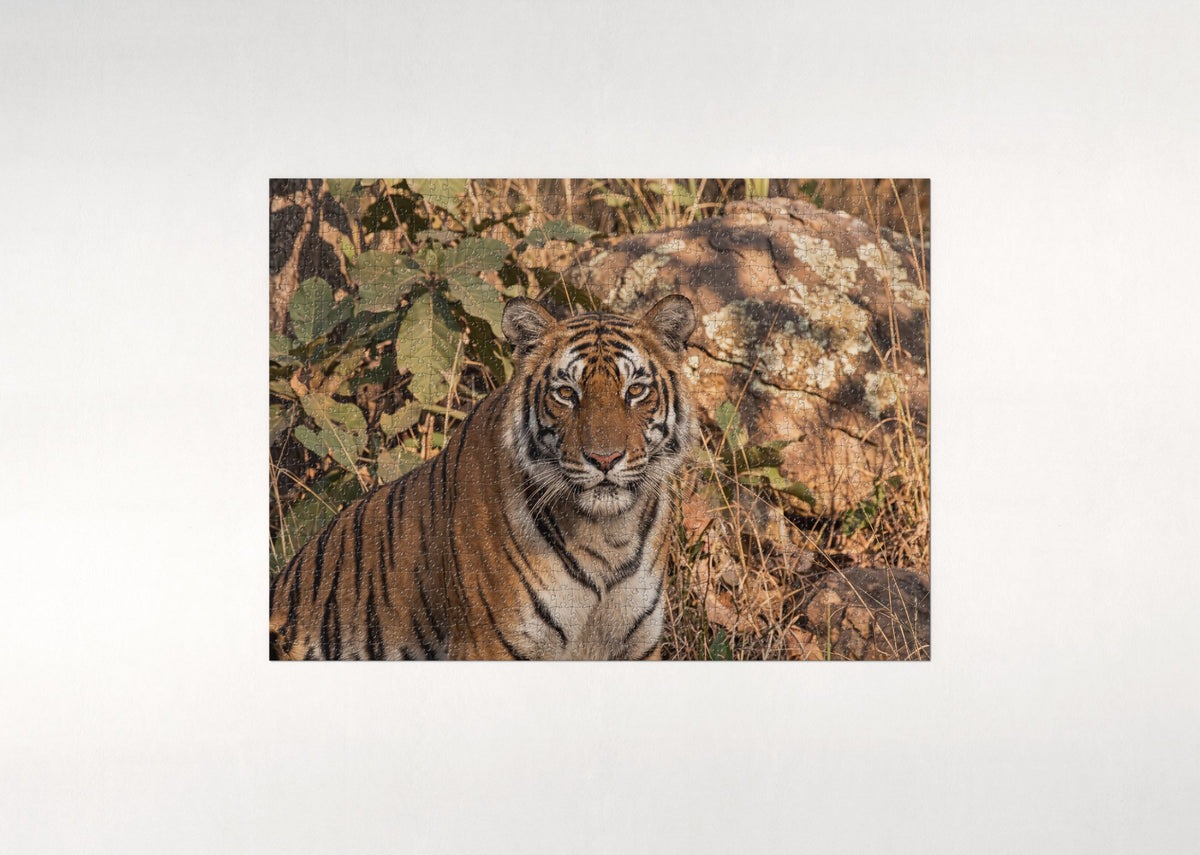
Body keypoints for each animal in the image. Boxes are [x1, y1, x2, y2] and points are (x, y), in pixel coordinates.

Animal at [269, 294, 697, 660]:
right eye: (566, 393)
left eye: (636, 390)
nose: (604, 459)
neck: (608, 535)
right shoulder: (490, 644)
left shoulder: (637, 645)